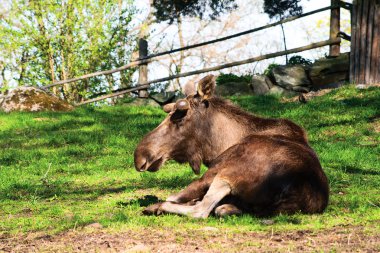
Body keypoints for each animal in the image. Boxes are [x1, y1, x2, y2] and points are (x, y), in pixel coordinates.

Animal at [134, 74, 330, 218]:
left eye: (179, 117)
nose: (140, 155)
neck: (220, 145)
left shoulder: (213, 170)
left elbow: (174, 196)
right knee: (219, 209)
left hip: (226, 174)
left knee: (201, 210)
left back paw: (157, 207)